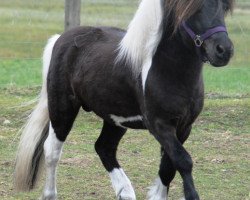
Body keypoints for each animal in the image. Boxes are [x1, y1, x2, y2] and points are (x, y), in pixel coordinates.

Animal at [13, 0, 233, 199]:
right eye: (192, 9)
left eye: (224, 7)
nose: (223, 50)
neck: (167, 70)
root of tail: (60, 39)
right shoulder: (159, 125)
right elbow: (183, 161)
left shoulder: (184, 127)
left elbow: (168, 166)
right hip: (62, 108)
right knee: (52, 150)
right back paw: (50, 194)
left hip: (115, 118)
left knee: (104, 148)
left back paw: (125, 192)